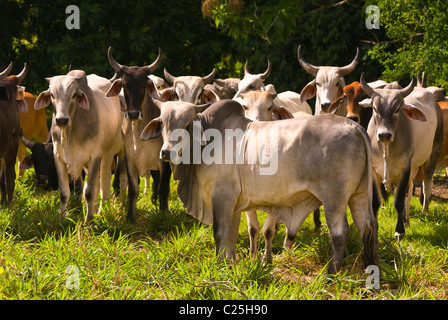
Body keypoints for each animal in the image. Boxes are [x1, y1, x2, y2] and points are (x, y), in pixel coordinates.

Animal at [34, 69, 124, 222]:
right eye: (52, 95)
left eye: (74, 95)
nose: (61, 119)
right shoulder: (58, 158)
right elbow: (65, 192)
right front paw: (62, 218)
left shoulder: (95, 156)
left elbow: (89, 192)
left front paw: (89, 220)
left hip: (114, 154)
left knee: (108, 182)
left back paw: (105, 210)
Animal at [140, 100, 378, 276]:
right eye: (163, 124)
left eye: (187, 123)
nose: (166, 152)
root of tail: (353, 126)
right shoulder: (233, 204)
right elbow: (231, 236)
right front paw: (229, 263)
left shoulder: (221, 196)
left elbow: (220, 232)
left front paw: (220, 266)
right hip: (358, 196)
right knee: (367, 227)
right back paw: (369, 267)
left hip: (334, 199)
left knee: (339, 233)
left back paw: (330, 274)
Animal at [358, 75, 442, 239]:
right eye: (375, 108)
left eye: (397, 109)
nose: (384, 135)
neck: (386, 149)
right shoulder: (374, 170)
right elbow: (375, 201)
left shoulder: (404, 168)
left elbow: (398, 200)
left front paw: (399, 230)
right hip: (414, 168)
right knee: (410, 191)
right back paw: (407, 219)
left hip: (431, 156)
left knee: (425, 187)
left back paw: (422, 213)